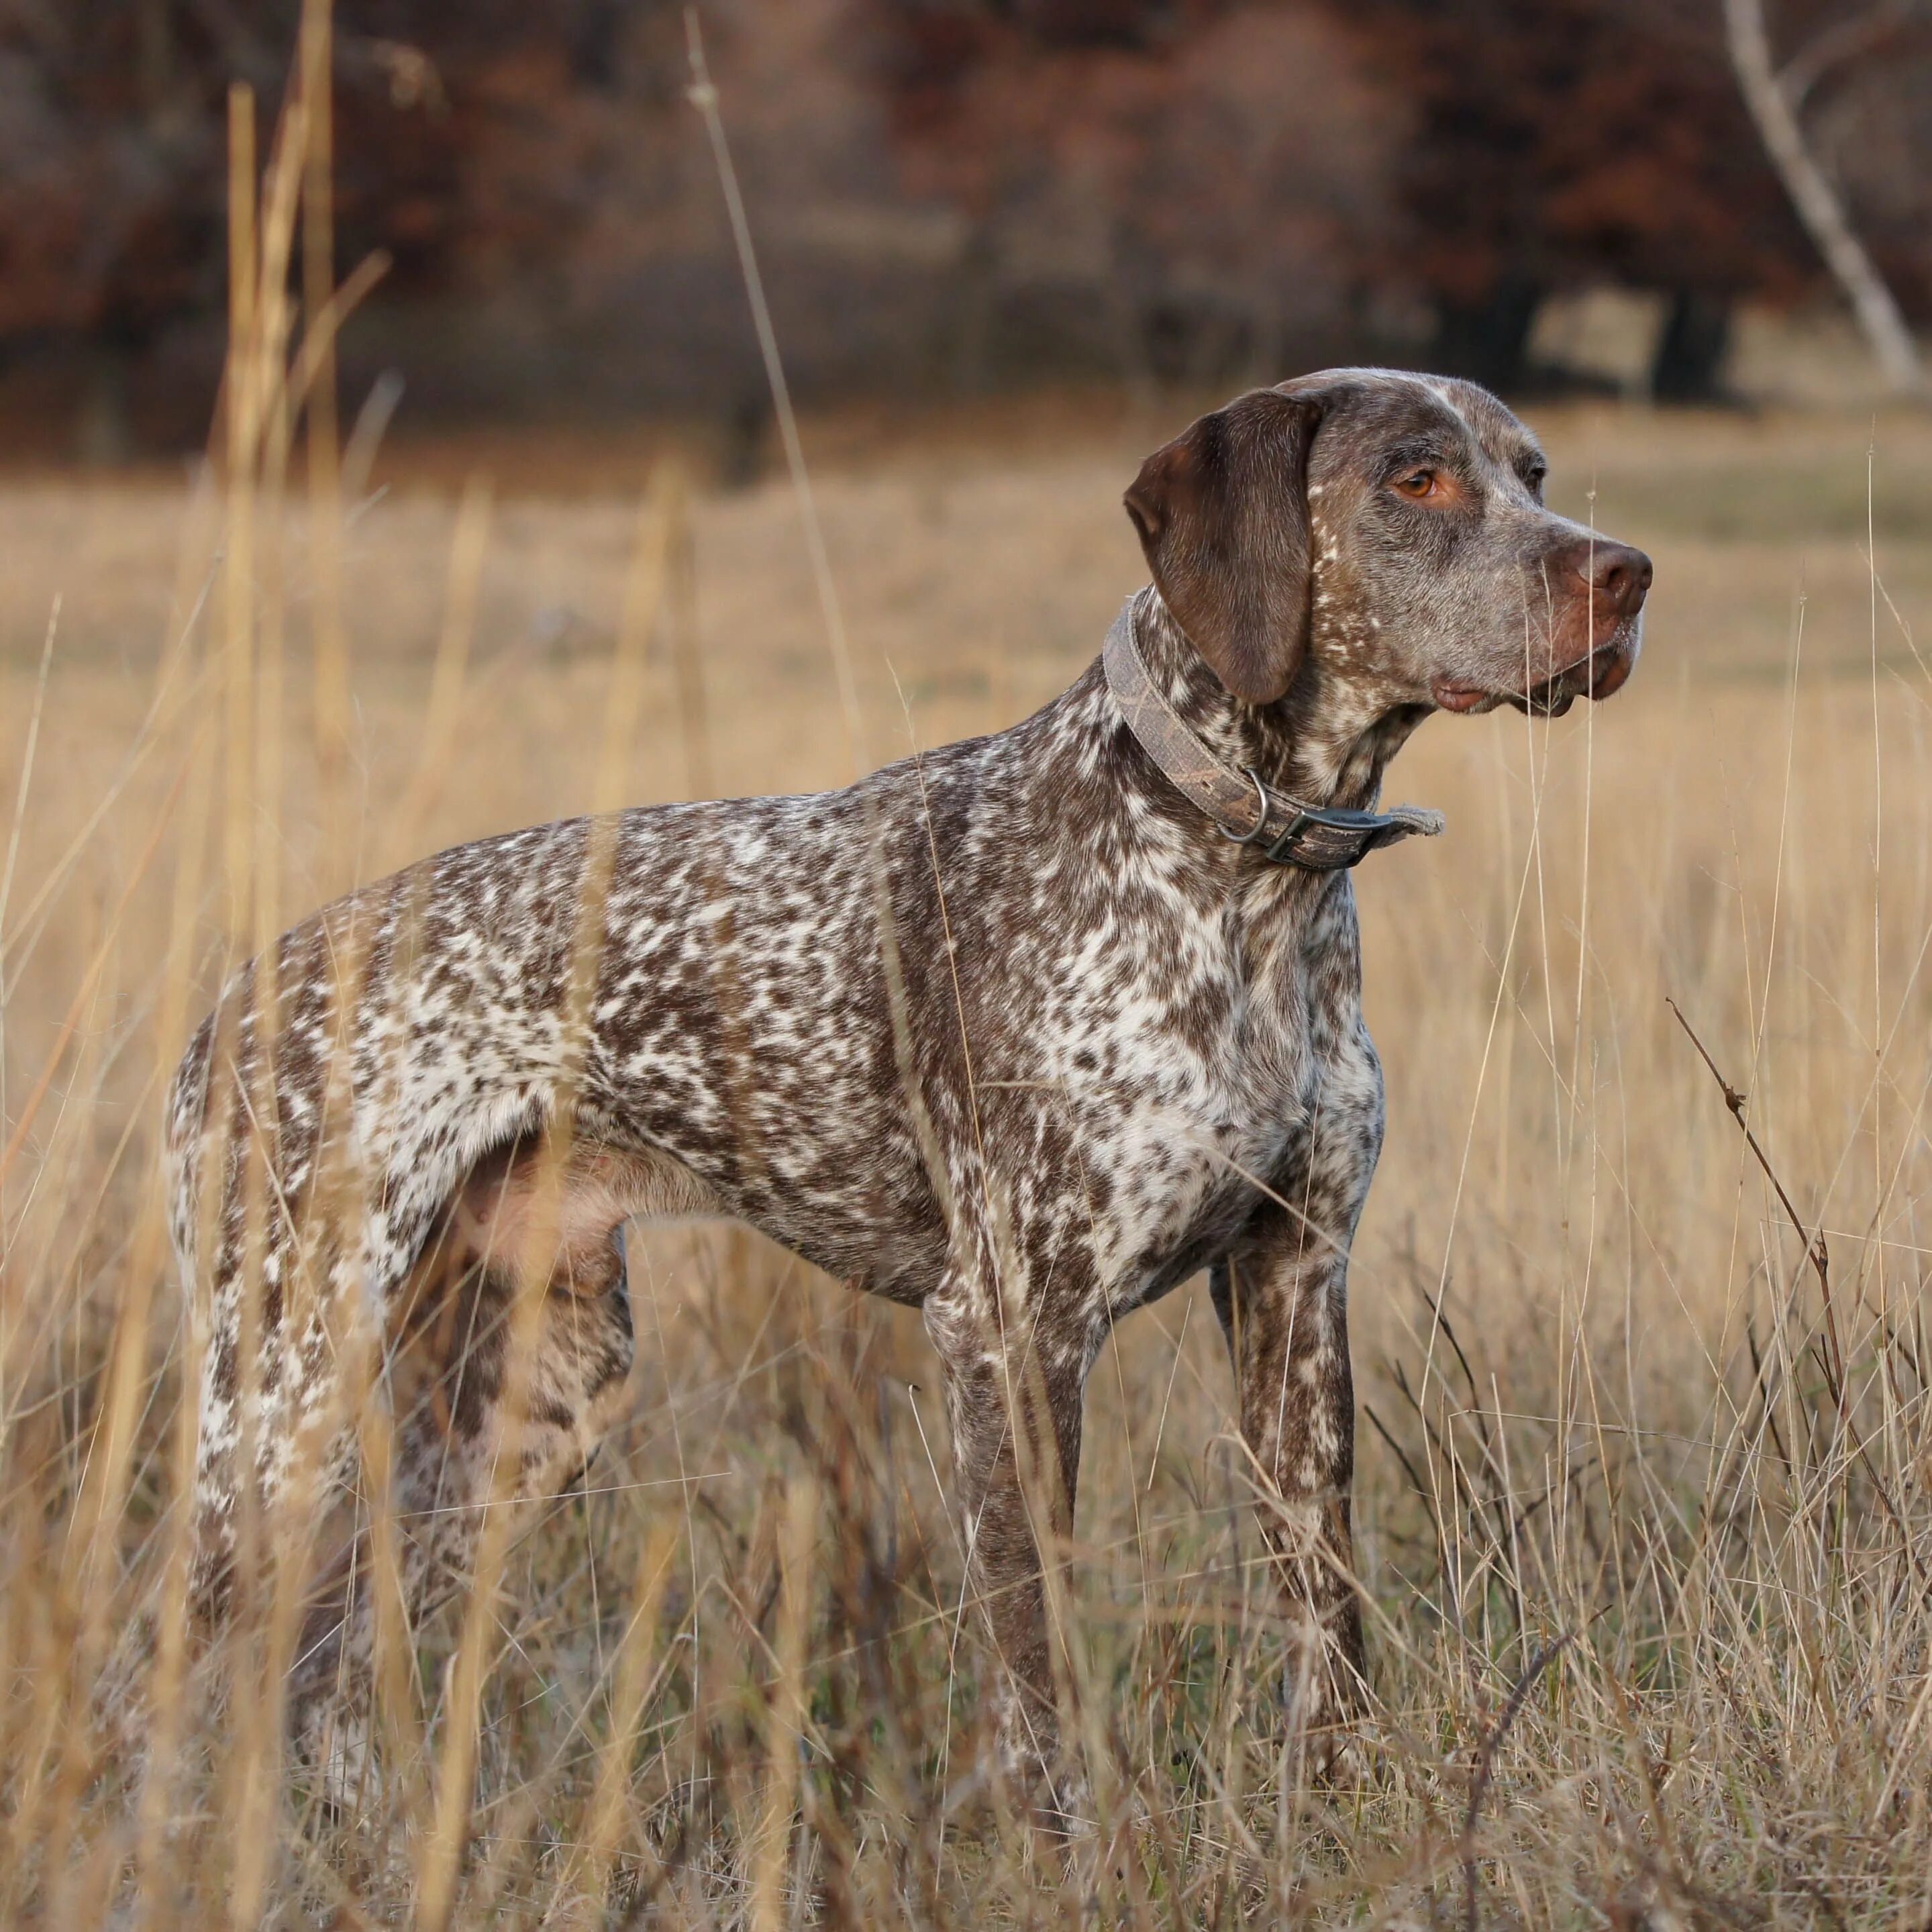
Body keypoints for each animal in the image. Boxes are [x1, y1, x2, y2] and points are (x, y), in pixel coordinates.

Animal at [162, 365, 1645, 1823]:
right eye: (1414, 478)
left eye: (1529, 472)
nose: (1625, 575)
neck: (1238, 879)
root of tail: (231, 998)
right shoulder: (1010, 1325)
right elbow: (1033, 1661)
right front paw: (1059, 1849)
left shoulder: (1293, 1276)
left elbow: (1318, 1601)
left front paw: (1340, 1810)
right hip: (281, 1392)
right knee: (181, 1672)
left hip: (529, 1398)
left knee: (330, 1655)